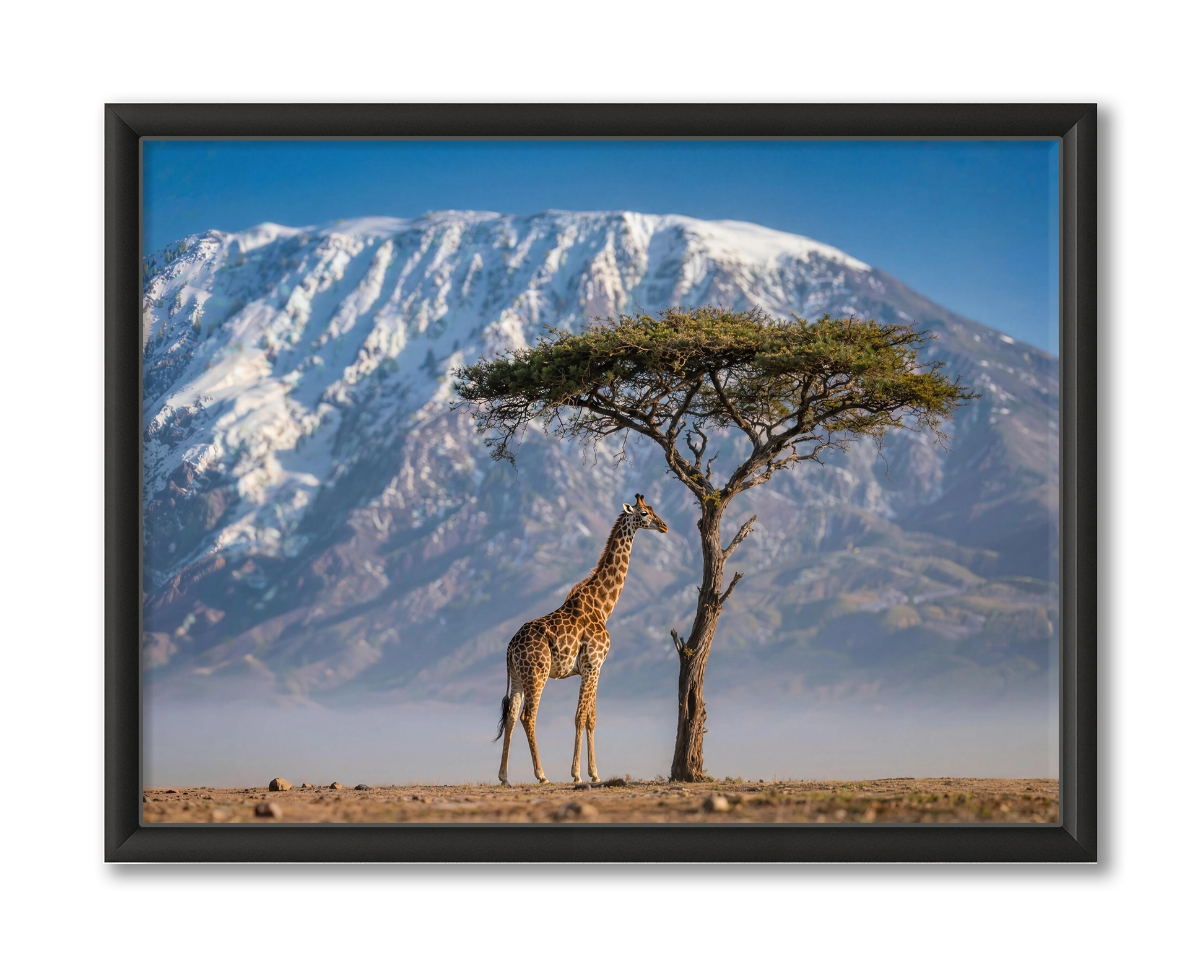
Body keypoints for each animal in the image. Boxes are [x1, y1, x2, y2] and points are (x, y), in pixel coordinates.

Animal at [495, 494, 669, 786]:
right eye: (644, 513)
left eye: (654, 509)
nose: (665, 526)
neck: (602, 606)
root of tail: (509, 648)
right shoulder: (592, 665)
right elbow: (579, 717)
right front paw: (576, 774)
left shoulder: (596, 668)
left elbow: (591, 718)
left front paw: (594, 772)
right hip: (537, 673)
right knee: (528, 716)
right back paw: (541, 775)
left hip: (518, 676)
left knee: (510, 716)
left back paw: (504, 776)